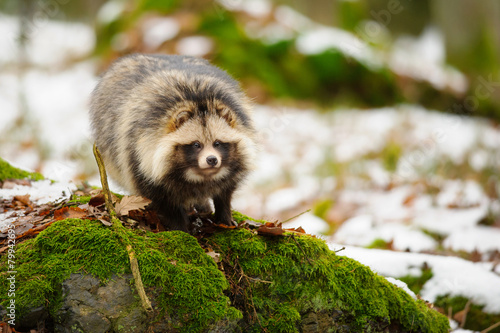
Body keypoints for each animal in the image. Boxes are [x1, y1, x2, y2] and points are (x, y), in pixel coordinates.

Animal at [89, 53, 258, 231]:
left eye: (217, 143)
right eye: (196, 145)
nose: (212, 160)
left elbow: (225, 192)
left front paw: (224, 214)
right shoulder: (137, 153)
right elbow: (163, 200)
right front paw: (180, 228)